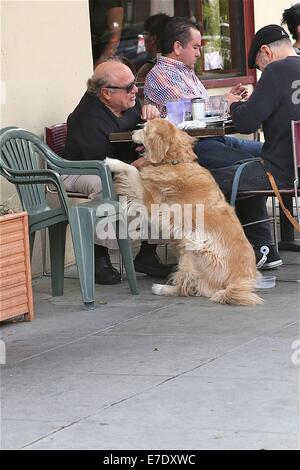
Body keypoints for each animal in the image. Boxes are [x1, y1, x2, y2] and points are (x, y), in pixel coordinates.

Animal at [106, 118, 262, 304]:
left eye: (144, 129)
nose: (131, 132)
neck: (174, 161)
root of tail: (236, 283)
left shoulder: (150, 201)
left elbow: (132, 170)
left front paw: (112, 161)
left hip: (193, 246)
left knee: (188, 287)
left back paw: (161, 288)